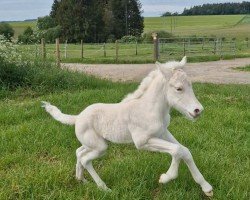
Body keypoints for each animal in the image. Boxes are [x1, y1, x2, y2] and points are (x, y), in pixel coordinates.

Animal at [42, 56, 213, 197]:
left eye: (191, 85)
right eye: (178, 88)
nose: (198, 110)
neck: (150, 109)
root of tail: (77, 118)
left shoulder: (163, 133)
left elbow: (184, 151)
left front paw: (206, 188)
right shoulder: (142, 141)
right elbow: (177, 150)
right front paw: (165, 178)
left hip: (93, 143)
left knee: (78, 152)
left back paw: (81, 180)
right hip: (100, 147)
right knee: (85, 159)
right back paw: (104, 188)